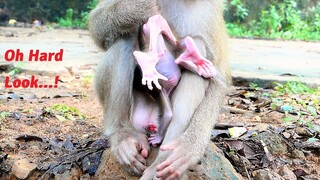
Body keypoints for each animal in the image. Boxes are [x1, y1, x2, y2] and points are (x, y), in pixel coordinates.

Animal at [131, 14, 216, 147]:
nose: (151, 128)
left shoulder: (158, 90)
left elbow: (169, 114)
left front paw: (157, 138)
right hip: (160, 33)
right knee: (174, 42)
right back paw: (194, 56)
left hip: (147, 32)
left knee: (155, 47)